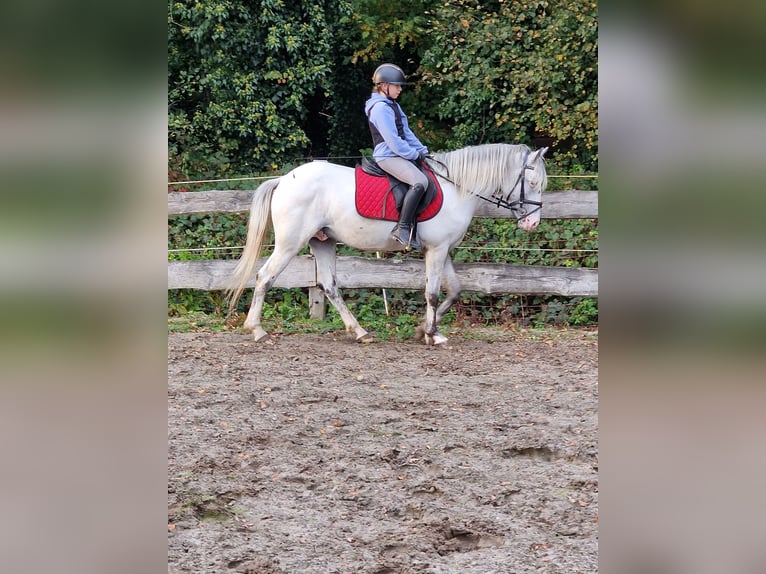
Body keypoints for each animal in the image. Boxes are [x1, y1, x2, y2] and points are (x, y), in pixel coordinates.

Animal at [225, 143, 548, 346]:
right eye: (533, 184)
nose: (532, 224)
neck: (456, 187)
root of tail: (284, 179)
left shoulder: (442, 250)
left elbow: (455, 290)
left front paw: (422, 330)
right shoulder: (437, 250)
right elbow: (432, 293)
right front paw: (433, 334)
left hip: (323, 242)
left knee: (329, 285)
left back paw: (359, 332)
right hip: (290, 244)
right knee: (265, 277)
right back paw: (257, 330)